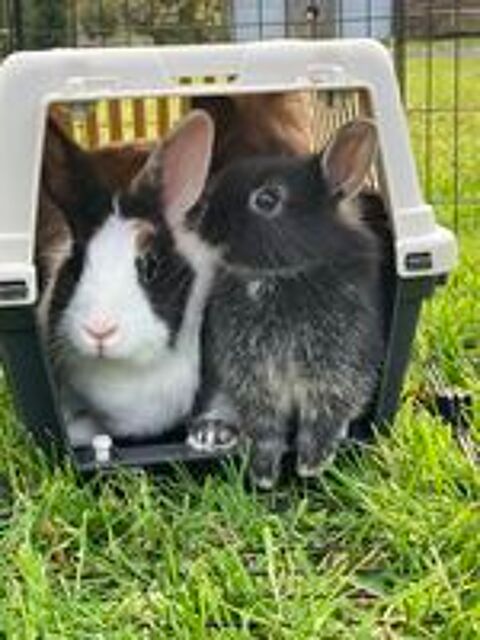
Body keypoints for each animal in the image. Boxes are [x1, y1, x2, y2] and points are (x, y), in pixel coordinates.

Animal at [188, 119, 388, 488]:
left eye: (267, 199)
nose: (201, 221)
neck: (281, 276)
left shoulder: (339, 368)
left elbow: (325, 414)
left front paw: (312, 463)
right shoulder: (252, 375)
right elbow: (265, 424)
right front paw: (264, 473)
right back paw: (211, 433)